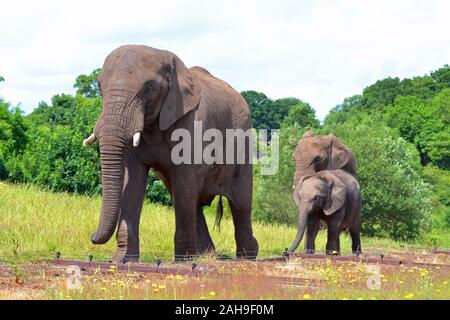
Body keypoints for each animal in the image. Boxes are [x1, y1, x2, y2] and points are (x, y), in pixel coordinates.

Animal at [84, 45, 258, 262]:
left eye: (149, 89)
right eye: (99, 87)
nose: (92, 237)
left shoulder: (193, 123)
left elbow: (185, 180)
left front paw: (183, 260)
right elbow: (131, 180)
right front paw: (121, 260)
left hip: (243, 139)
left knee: (240, 203)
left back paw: (246, 256)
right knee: (192, 201)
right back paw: (207, 255)